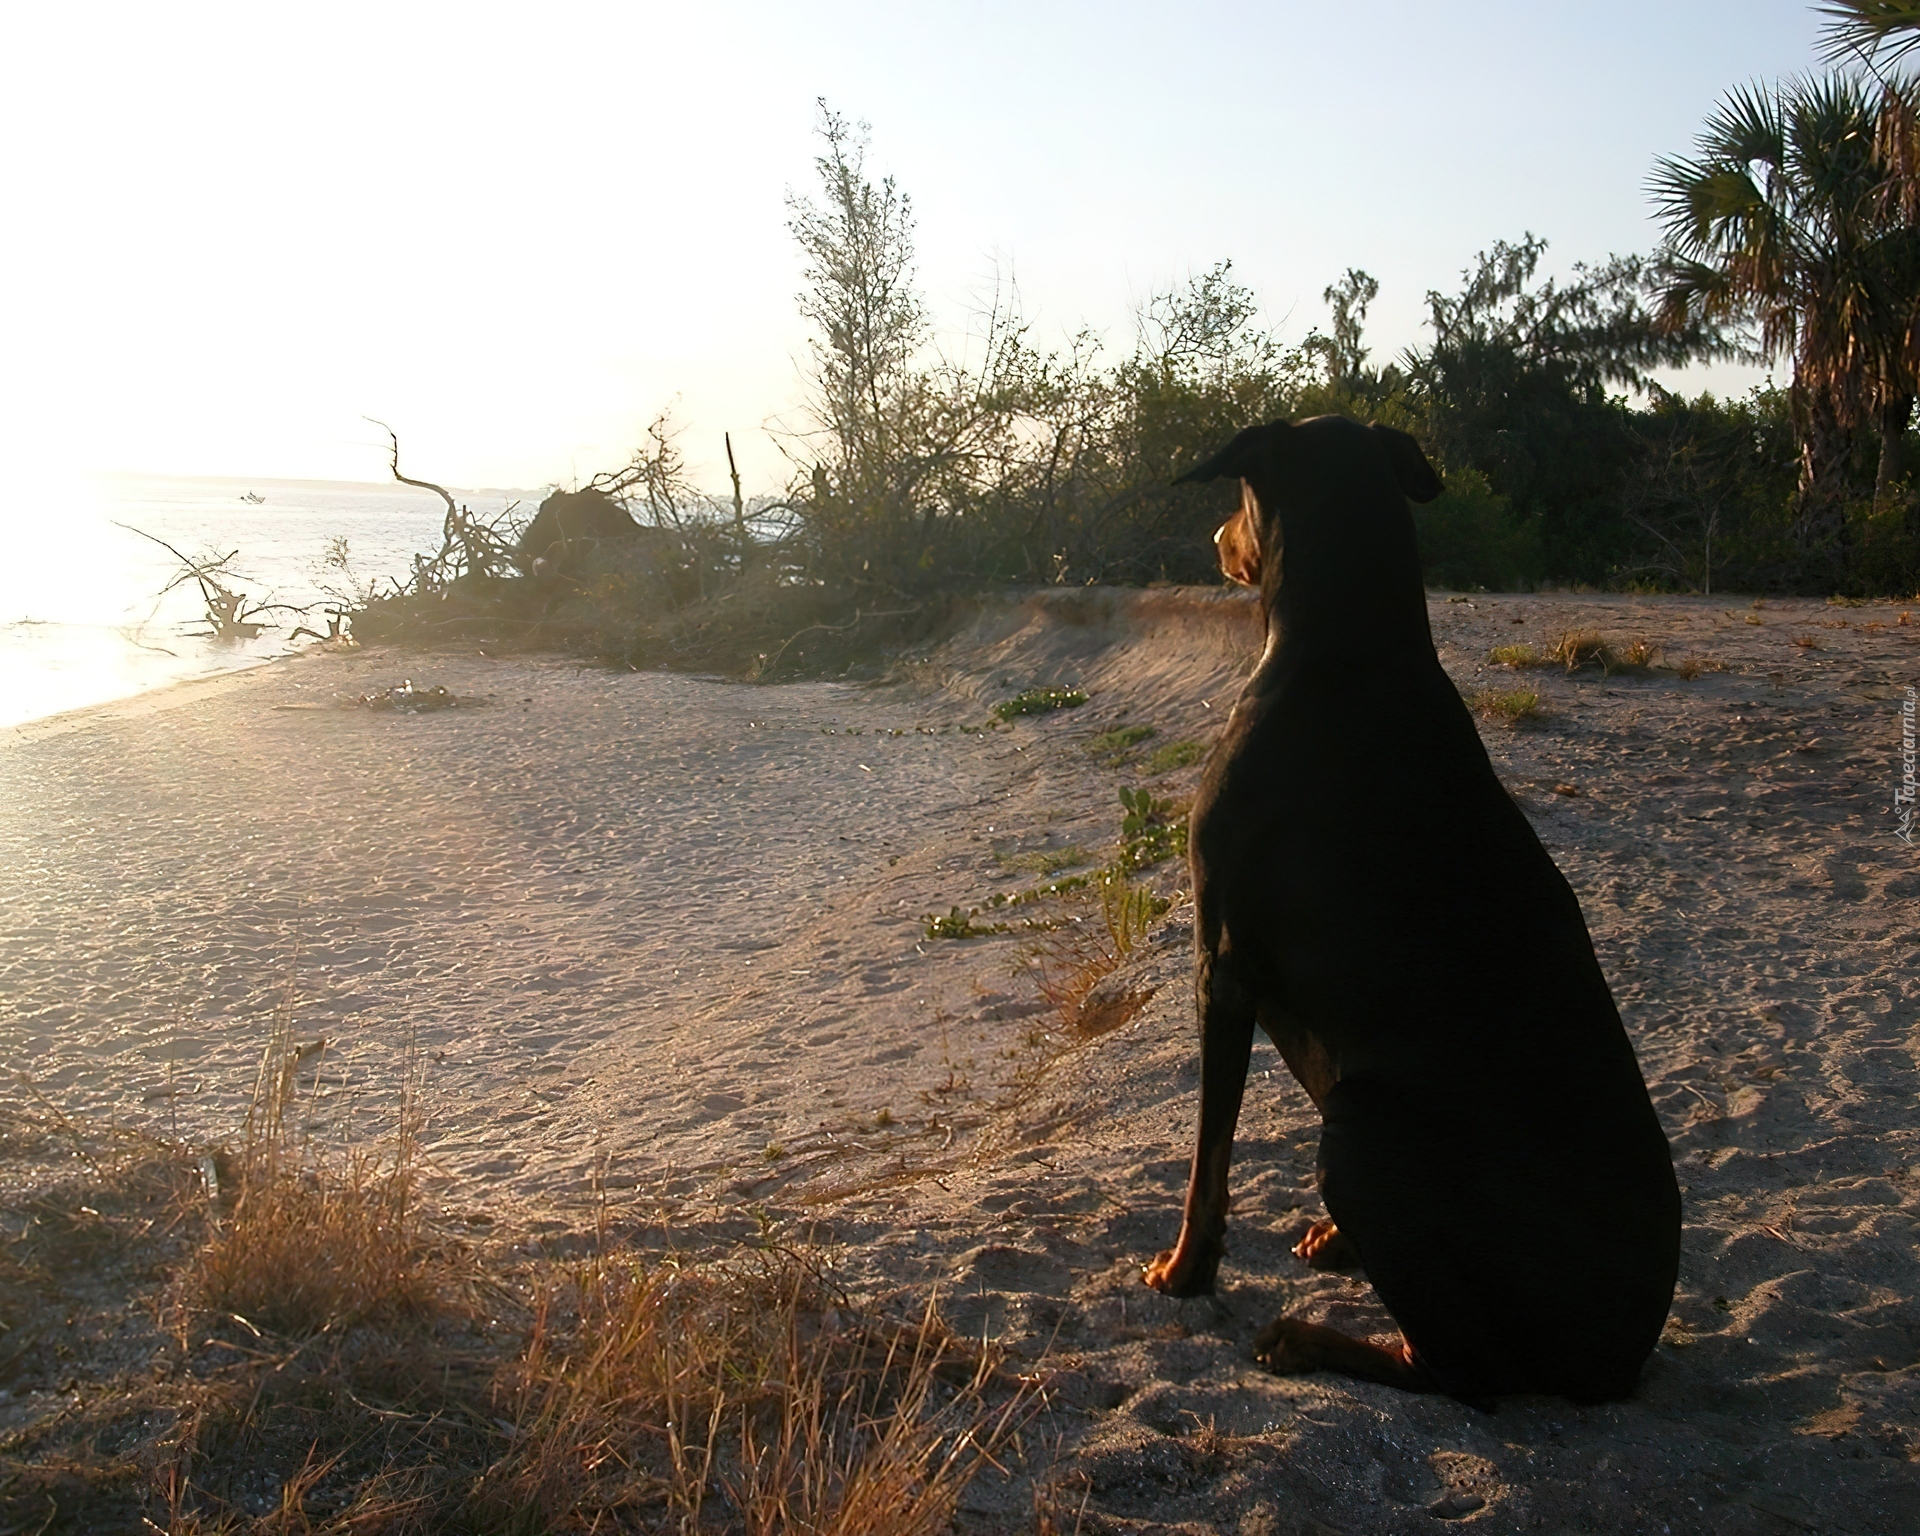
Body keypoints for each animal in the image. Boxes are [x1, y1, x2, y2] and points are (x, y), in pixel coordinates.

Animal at [1136, 416, 1681, 1405]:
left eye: (1239, 495)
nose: (1214, 542)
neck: (1348, 654)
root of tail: (1619, 1357)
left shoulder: (1219, 964)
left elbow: (1208, 1161)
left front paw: (1184, 1271)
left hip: (1363, 1127)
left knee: (1463, 1372)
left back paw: (1308, 1339)